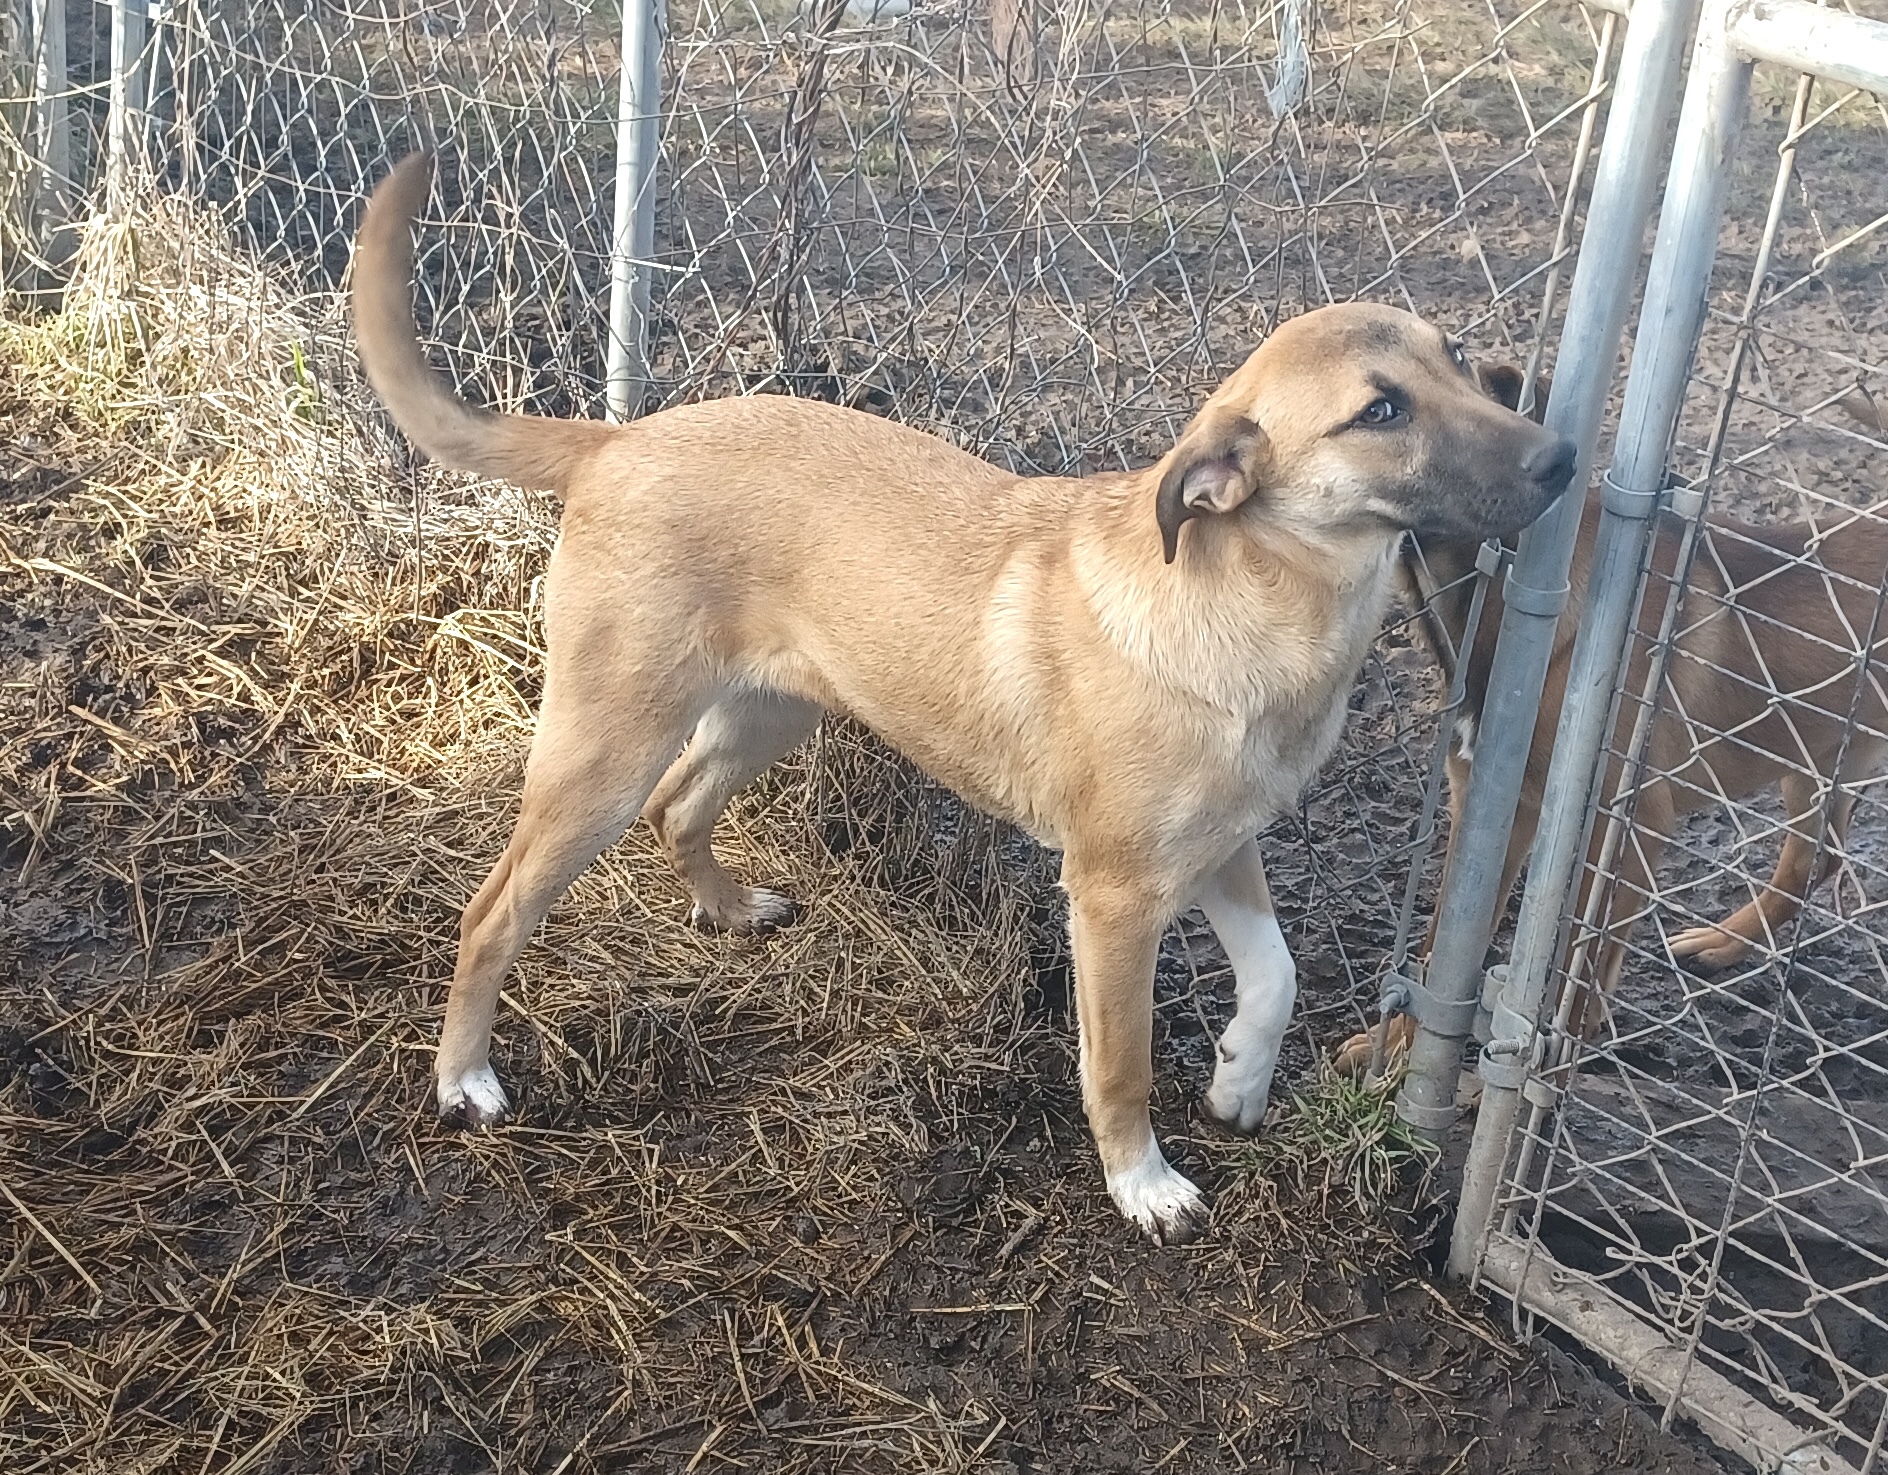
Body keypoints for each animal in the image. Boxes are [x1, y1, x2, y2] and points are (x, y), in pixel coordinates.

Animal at [356, 155, 1578, 1238]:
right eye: (1380, 412)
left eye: (1458, 359)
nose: (1565, 459)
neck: (1261, 605)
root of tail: (614, 440)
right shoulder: (1115, 895)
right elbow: (1120, 1063)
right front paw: (1143, 1183)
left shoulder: (1224, 842)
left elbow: (1274, 974)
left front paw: (1239, 1078)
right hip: (604, 748)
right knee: (494, 908)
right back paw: (463, 1078)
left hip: (770, 710)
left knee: (682, 806)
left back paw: (725, 906)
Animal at [1336, 364, 1880, 1072]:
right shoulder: (1489, 810)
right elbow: (1439, 946)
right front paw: (1396, 1047)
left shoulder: (1631, 828)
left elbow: (1583, 964)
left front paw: (1548, 1062)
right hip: (1812, 762)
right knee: (1812, 864)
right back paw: (1722, 944)